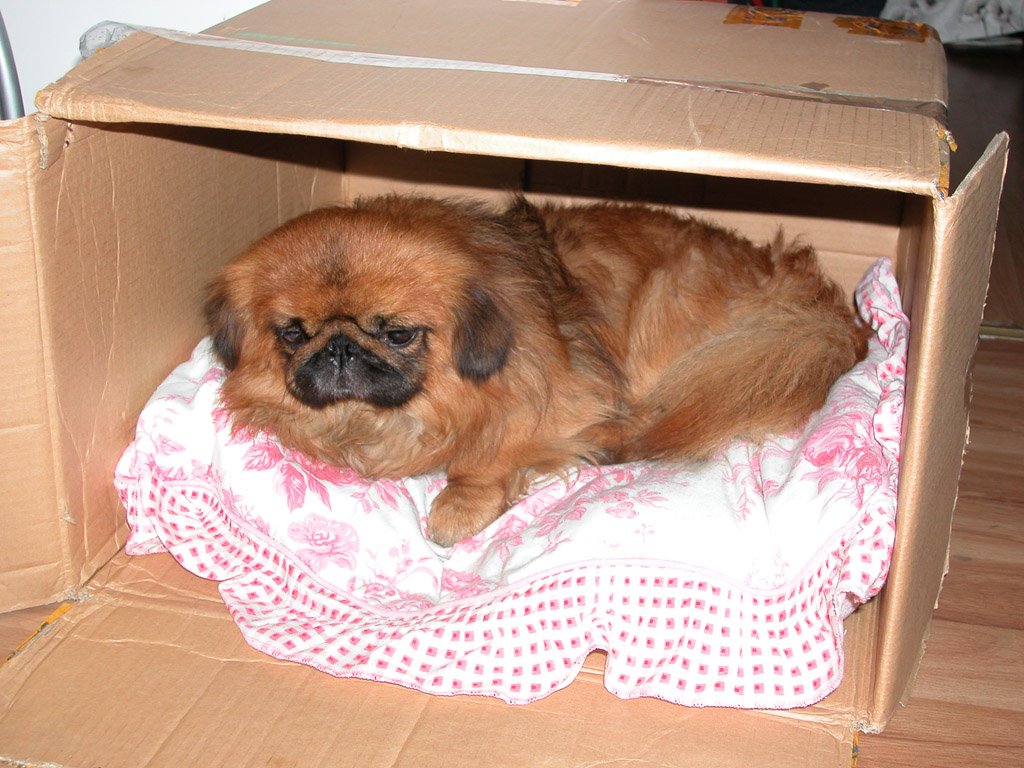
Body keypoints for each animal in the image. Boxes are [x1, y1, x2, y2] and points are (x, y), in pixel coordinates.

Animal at [205, 194, 869, 546]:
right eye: (293, 333)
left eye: (396, 333)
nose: (340, 350)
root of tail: (819, 305)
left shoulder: (570, 398)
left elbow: (487, 454)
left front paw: (457, 506)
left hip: (668, 310)